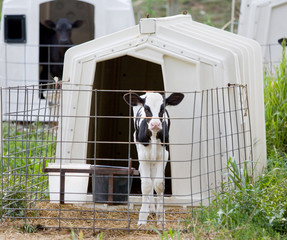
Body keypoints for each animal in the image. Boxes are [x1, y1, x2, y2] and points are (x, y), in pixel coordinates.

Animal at [124, 91, 184, 225]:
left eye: (162, 109)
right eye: (146, 108)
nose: (155, 124)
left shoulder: (164, 155)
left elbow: (159, 184)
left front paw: (161, 217)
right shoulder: (142, 155)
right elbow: (146, 185)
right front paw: (142, 218)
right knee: (145, 176)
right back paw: (150, 208)